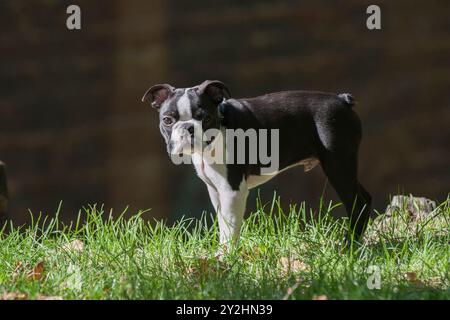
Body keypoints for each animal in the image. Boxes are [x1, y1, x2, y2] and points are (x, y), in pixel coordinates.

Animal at [143, 80, 372, 250]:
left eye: (206, 118)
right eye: (167, 120)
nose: (188, 128)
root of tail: (342, 100)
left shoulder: (232, 191)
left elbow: (231, 226)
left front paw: (228, 257)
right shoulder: (216, 190)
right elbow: (223, 224)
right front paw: (221, 252)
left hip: (338, 164)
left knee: (356, 202)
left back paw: (349, 246)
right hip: (343, 166)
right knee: (365, 197)